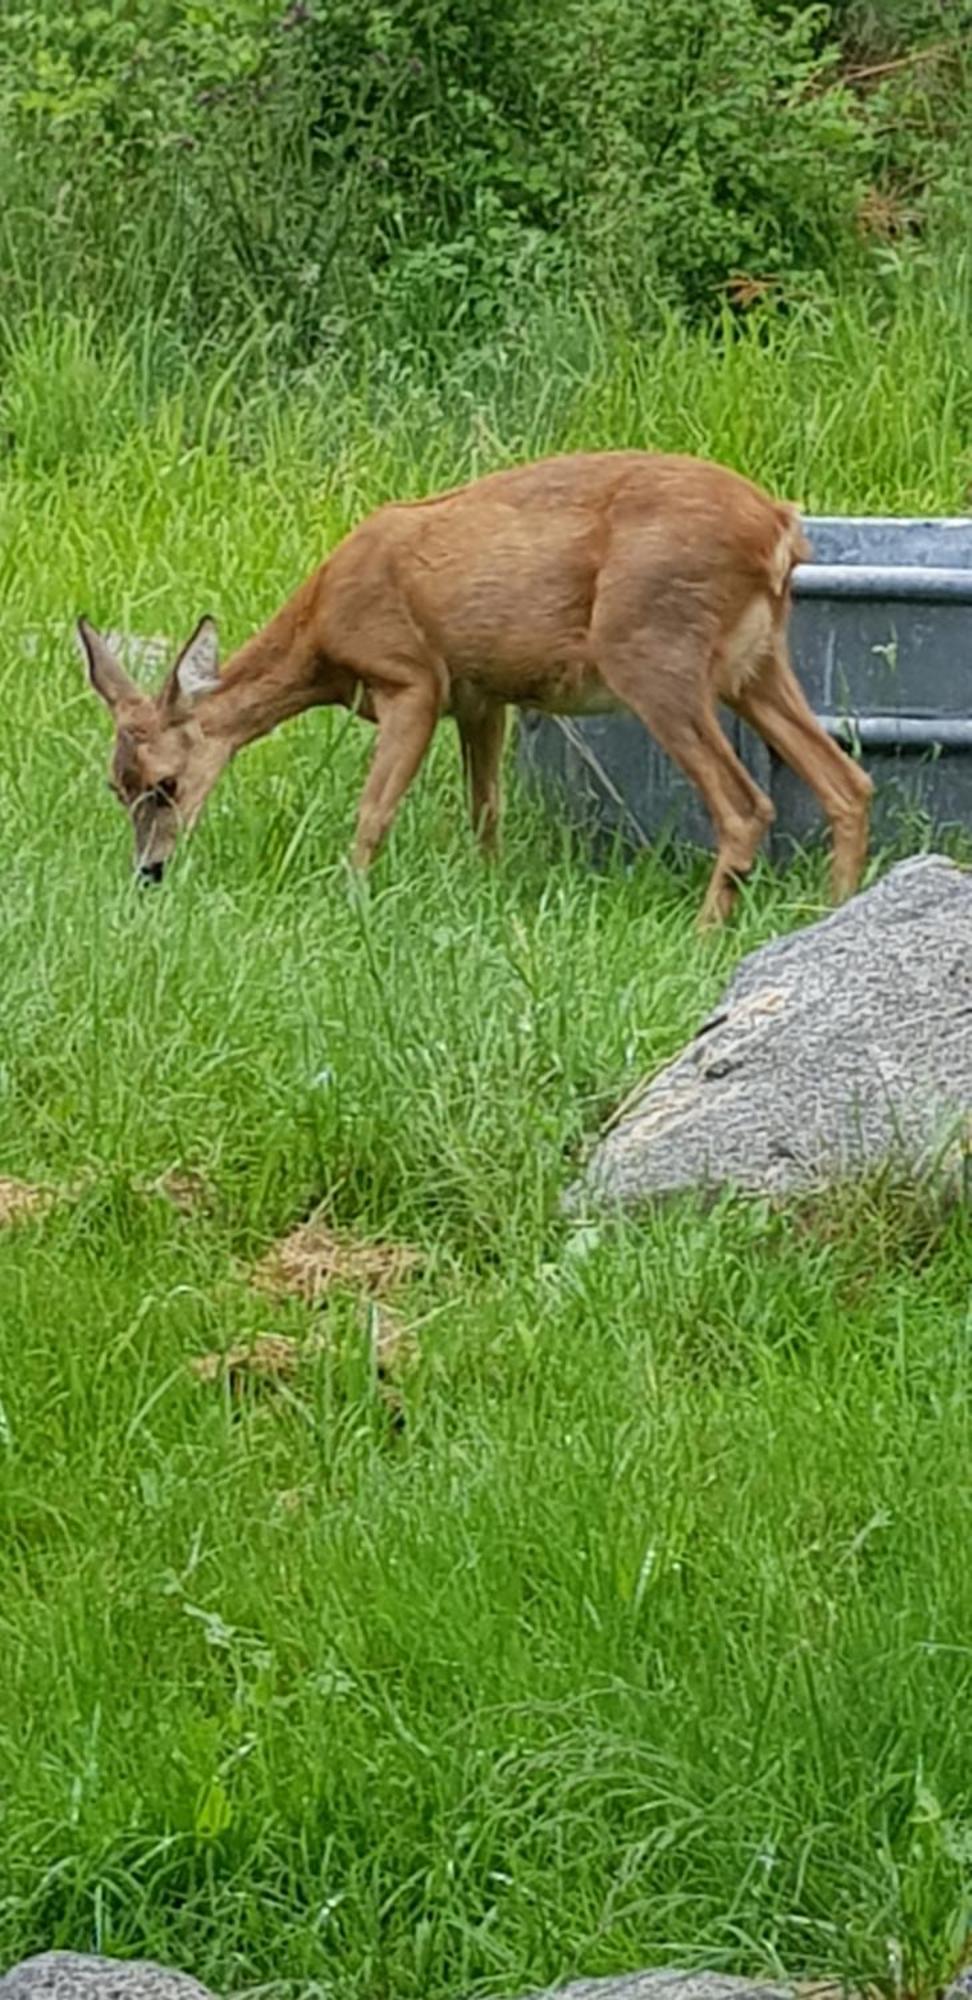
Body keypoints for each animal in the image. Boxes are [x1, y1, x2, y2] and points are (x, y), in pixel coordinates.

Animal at [78, 450, 872, 924]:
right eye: (118, 786)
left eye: (166, 784)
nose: (150, 872)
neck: (322, 635)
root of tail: (780, 528)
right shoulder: (482, 697)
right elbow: (485, 810)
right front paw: (487, 891)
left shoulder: (411, 678)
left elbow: (373, 811)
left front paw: (353, 902)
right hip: (754, 664)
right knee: (846, 781)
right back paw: (831, 910)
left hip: (653, 650)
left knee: (745, 804)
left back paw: (711, 930)